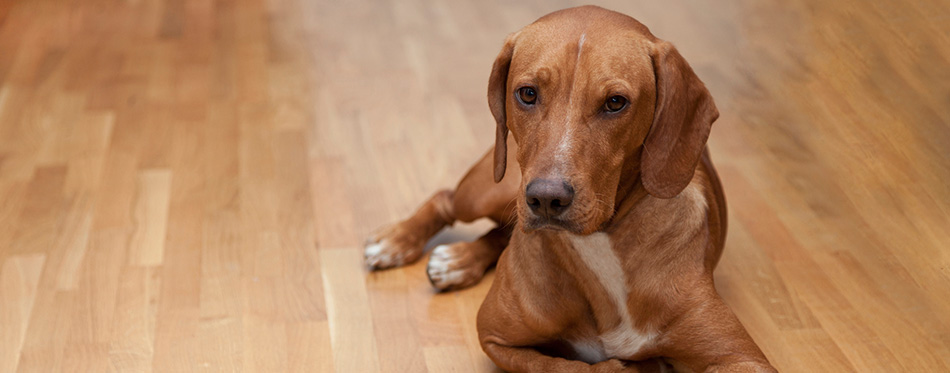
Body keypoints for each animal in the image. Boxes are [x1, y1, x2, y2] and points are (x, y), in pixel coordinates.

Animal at [362, 5, 772, 372]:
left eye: (615, 102)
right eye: (527, 93)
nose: (546, 198)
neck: (601, 243)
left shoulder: (742, 358)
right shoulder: (495, 336)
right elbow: (566, 366)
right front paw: (627, 367)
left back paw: (460, 260)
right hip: (490, 190)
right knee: (447, 199)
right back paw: (397, 241)